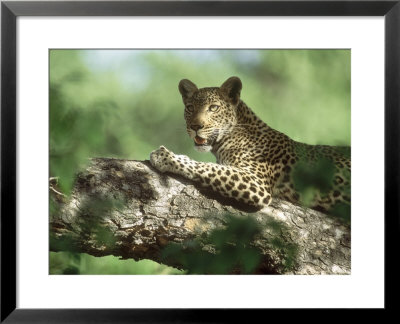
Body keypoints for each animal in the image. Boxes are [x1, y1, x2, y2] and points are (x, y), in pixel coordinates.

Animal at [150, 76, 350, 215]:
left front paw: (166, 157)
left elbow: (209, 167)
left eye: (213, 108)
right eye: (190, 107)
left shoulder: (257, 182)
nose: (195, 126)